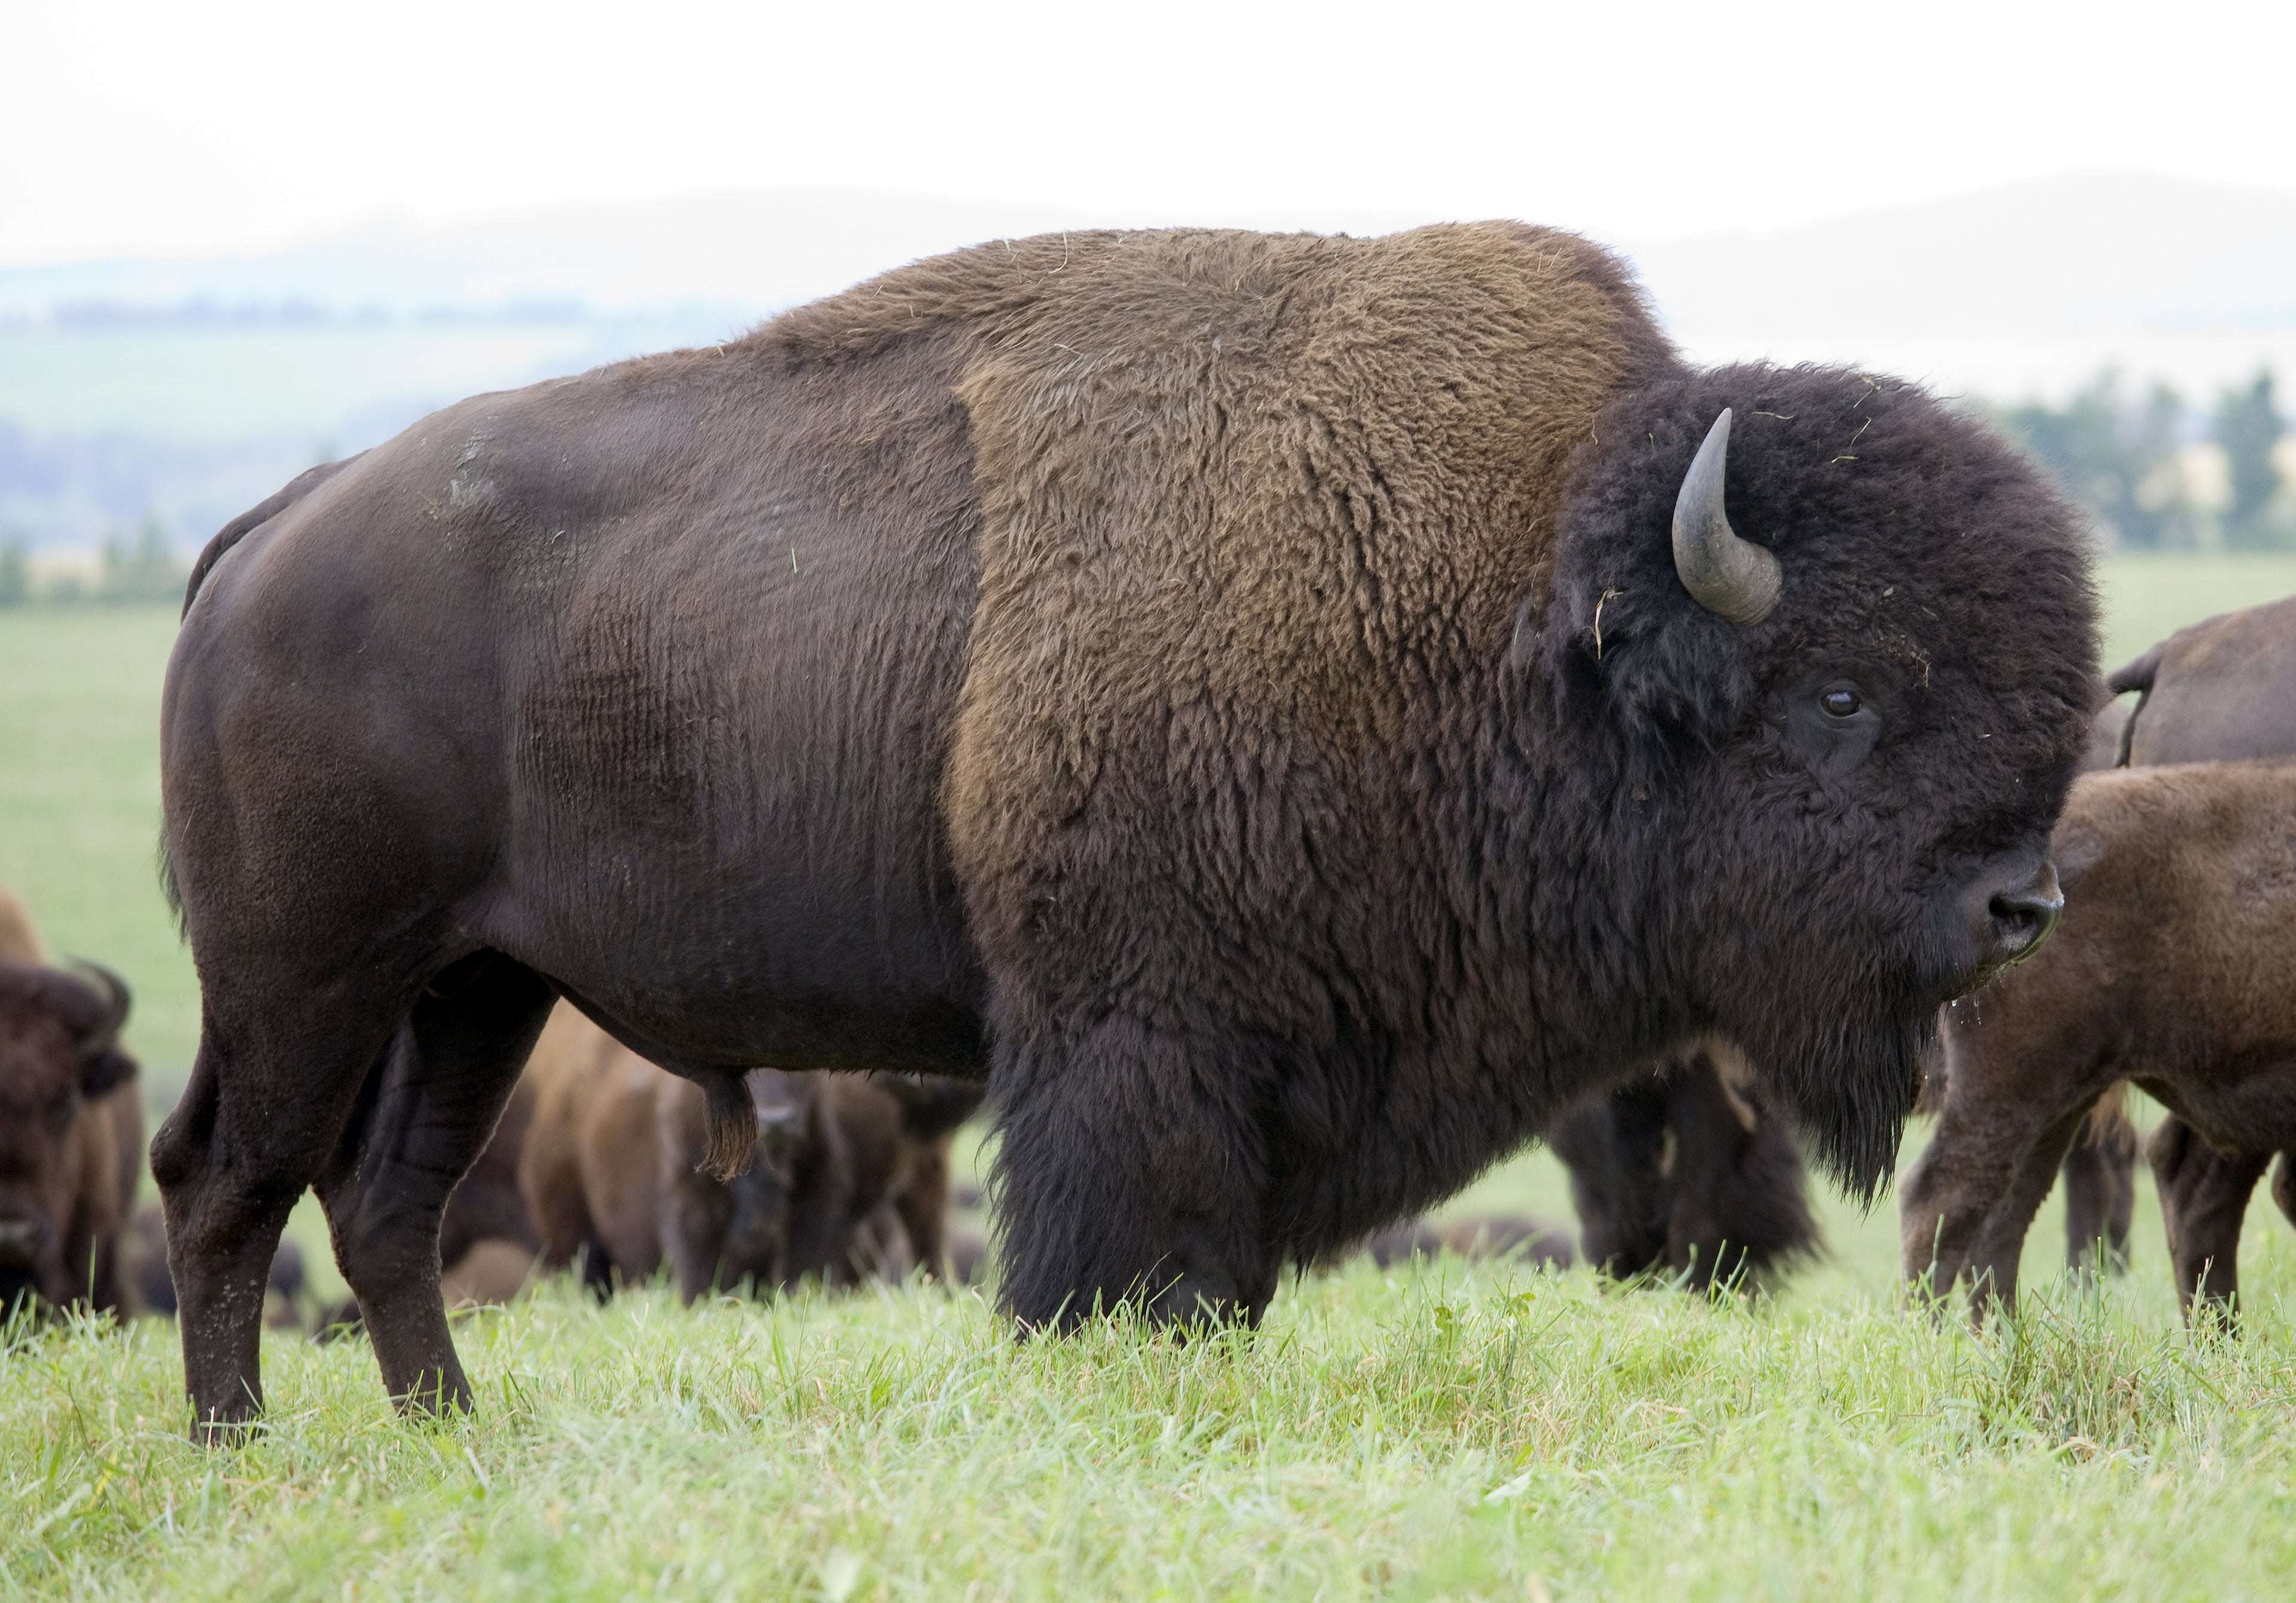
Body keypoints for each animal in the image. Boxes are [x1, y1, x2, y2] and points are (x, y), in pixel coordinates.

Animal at [155, 223, 2095, 1430]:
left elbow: (1212, 1267)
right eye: (1839, 693)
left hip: (472, 985)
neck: (1509, 602)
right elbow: (1115, 1260)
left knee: (380, 1201)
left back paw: (447, 1431)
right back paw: (243, 1443)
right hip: (307, 978)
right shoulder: (1130, 1043)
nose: (2020, 904)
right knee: (228, 1179)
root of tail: (267, 533)